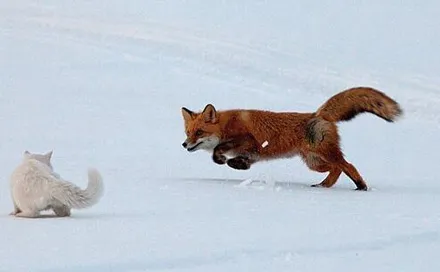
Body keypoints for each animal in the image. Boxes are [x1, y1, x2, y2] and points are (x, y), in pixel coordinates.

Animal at [180, 87, 402, 191]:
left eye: (199, 132)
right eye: (187, 132)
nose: (184, 144)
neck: (226, 125)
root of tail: (318, 114)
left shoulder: (248, 140)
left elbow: (218, 150)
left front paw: (222, 159)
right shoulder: (252, 153)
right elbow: (241, 161)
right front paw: (237, 165)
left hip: (324, 155)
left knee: (348, 165)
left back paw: (361, 186)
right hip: (314, 163)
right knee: (337, 169)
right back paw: (324, 186)